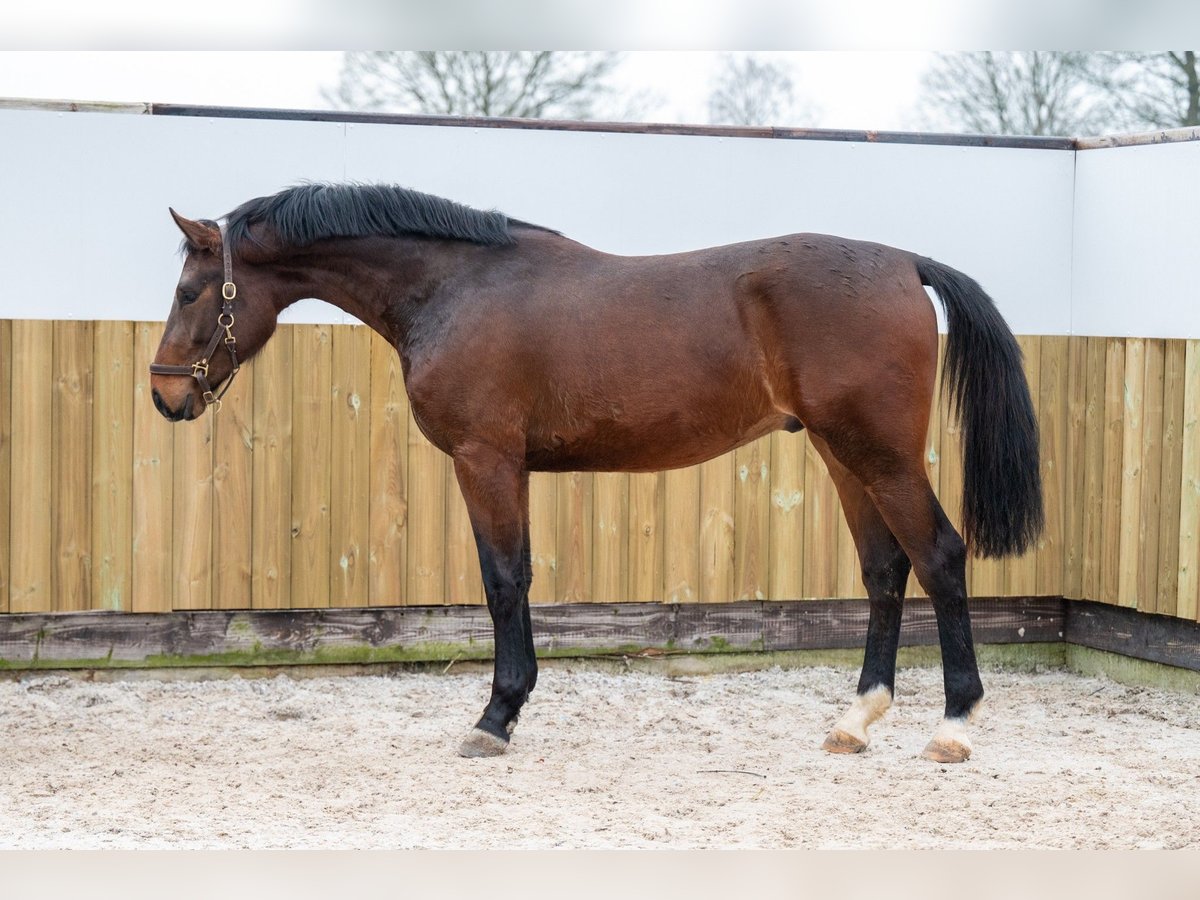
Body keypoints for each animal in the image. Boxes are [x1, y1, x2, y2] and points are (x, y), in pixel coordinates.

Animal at [152, 181, 1041, 763]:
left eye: (192, 290)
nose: (165, 395)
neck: (455, 287)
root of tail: (905, 264)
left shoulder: (486, 460)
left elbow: (504, 581)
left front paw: (496, 716)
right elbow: (511, 579)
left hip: (880, 455)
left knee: (939, 557)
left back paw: (953, 725)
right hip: (843, 454)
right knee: (886, 570)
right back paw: (856, 721)